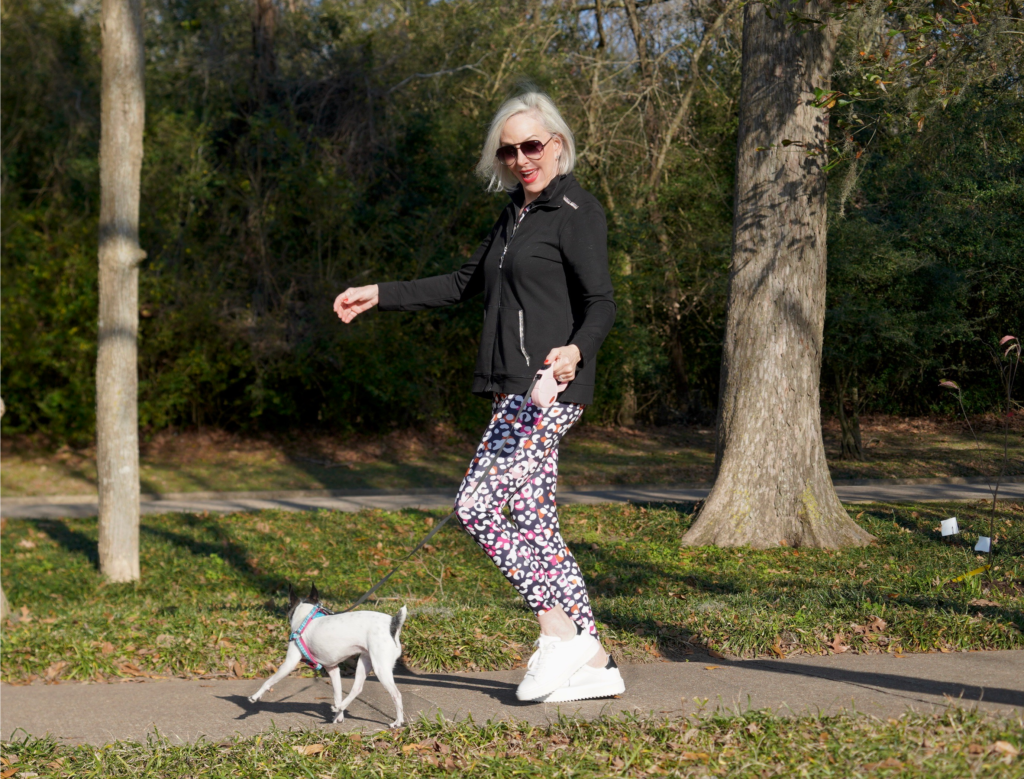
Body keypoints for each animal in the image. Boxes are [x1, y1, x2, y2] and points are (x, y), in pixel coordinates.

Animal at [247, 581, 407, 728]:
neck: (306, 617)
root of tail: (393, 624)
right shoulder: (333, 669)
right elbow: (337, 693)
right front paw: (339, 716)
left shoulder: (289, 663)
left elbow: (269, 681)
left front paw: (255, 697)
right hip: (365, 661)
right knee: (357, 688)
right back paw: (339, 707)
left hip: (380, 667)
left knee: (397, 694)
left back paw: (398, 722)